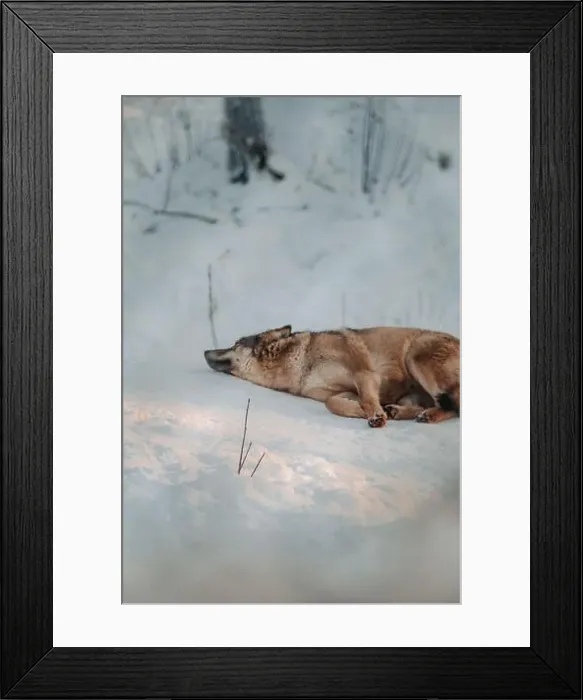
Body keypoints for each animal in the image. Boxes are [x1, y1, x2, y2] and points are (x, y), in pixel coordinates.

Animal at [204, 325, 460, 428]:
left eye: (236, 344)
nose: (205, 351)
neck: (300, 362)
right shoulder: (342, 391)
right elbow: (332, 403)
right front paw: (365, 412)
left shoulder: (364, 374)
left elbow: (367, 400)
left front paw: (374, 415)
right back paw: (397, 411)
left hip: (415, 357)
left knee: (454, 406)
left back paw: (426, 415)